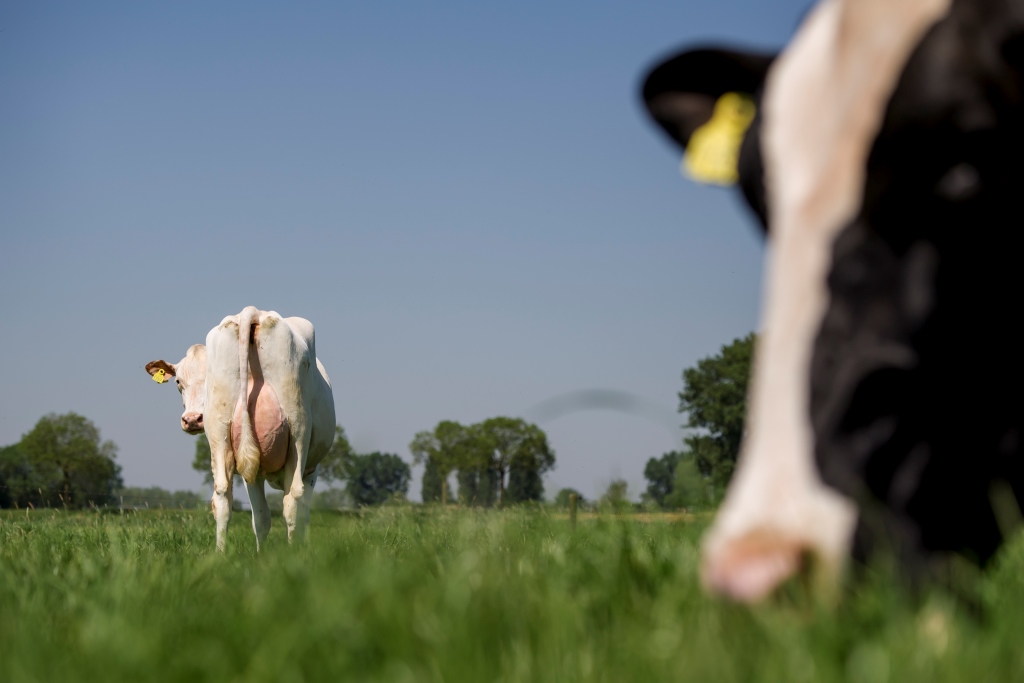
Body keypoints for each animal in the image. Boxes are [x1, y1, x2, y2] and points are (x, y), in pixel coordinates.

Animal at [146, 307, 335, 552]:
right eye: (178, 382)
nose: (192, 419)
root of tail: (255, 312)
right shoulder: (311, 468)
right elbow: (296, 515)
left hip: (222, 434)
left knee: (224, 497)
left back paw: (222, 554)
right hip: (298, 432)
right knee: (291, 499)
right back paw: (290, 555)